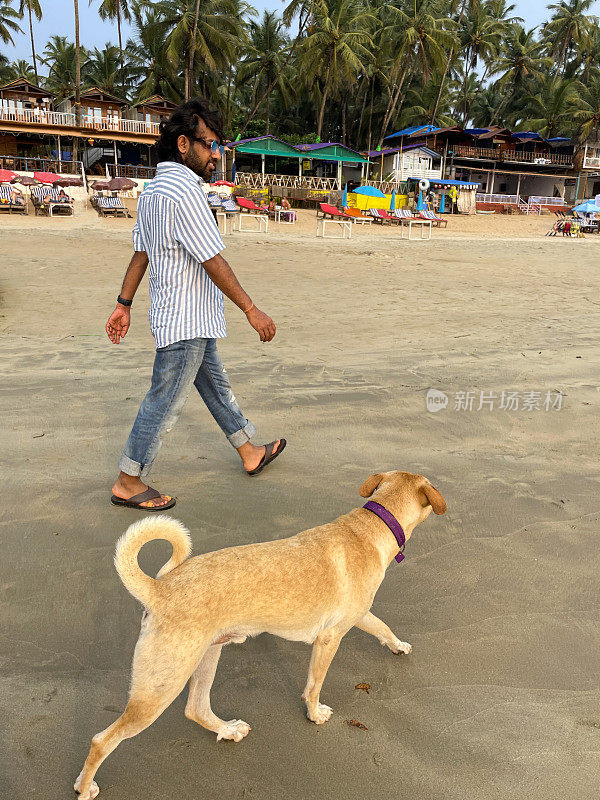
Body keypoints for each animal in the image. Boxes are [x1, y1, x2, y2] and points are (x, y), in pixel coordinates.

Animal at [75, 472, 446, 796]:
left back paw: (227, 730)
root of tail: (158, 589)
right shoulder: (330, 637)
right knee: (102, 740)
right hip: (161, 685)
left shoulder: (358, 616)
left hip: (207, 656)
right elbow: (314, 686)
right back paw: (84, 786)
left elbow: (382, 627)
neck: (371, 527)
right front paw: (315, 715)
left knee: (196, 708)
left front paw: (398, 645)